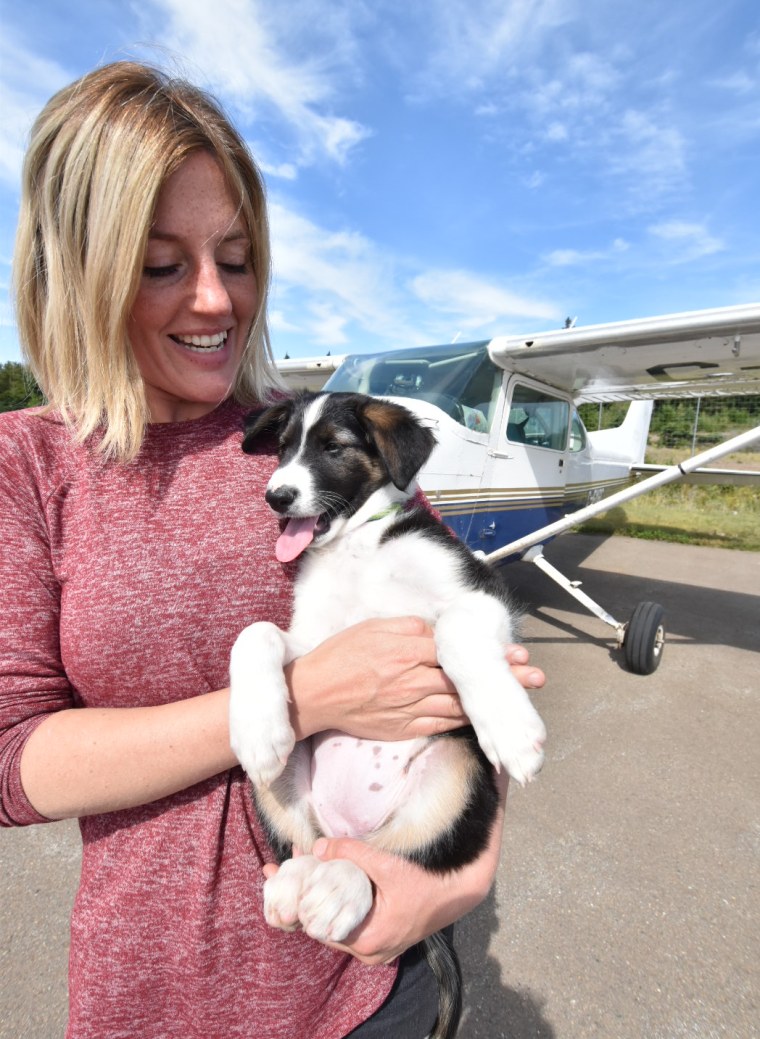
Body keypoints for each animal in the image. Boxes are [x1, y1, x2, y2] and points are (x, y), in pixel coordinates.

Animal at [231, 390, 548, 1039]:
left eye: (334, 447)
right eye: (282, 448)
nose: (276, 497)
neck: (359, 548)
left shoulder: (482, 597)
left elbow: (456, 630)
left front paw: (512, 731)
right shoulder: (316, 642)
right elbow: (254, 633)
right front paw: (256, 727)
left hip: (457, 775)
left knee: (402, 857)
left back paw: (341, 886)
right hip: (278, 788)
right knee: (311, 844)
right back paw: (301, 882)